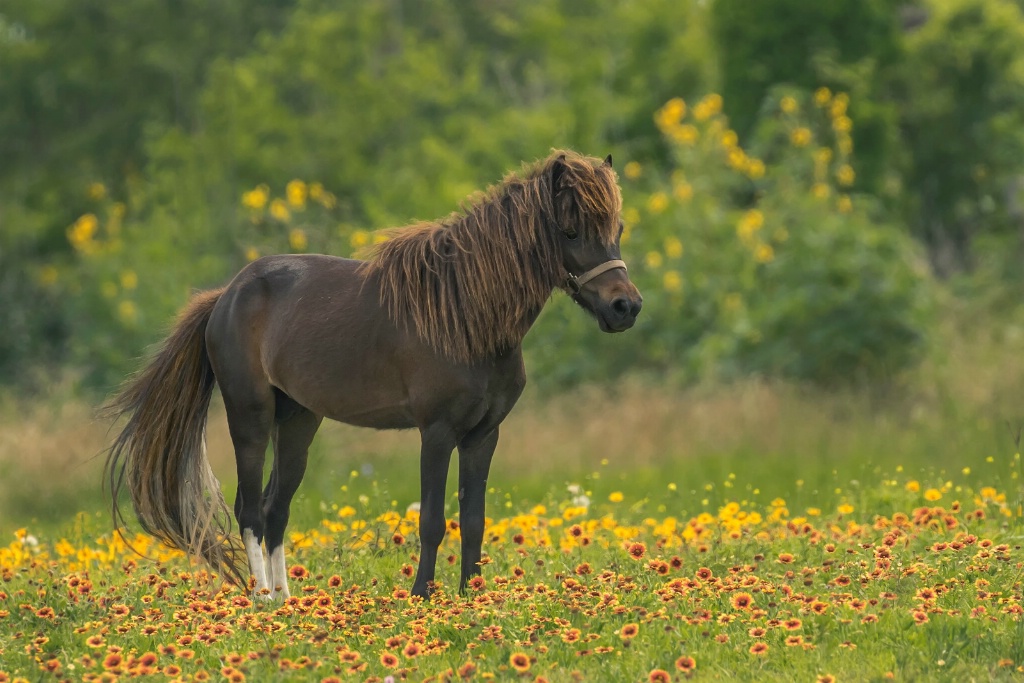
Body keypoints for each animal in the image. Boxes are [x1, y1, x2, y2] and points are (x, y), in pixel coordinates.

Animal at [108, 149, 643, 598]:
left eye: (616, 229)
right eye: (570, 232)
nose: (625, 307)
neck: (464, 315)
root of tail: (226, 295)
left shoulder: (483, 435)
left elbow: (473, 519)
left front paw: (473, 596)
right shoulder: (437, 432)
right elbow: (433, 520)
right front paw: (423, 595)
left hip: (298, 421)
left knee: (275, 507)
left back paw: (284, 602)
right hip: (250, 418)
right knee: (250, 511)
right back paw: (260, 599)